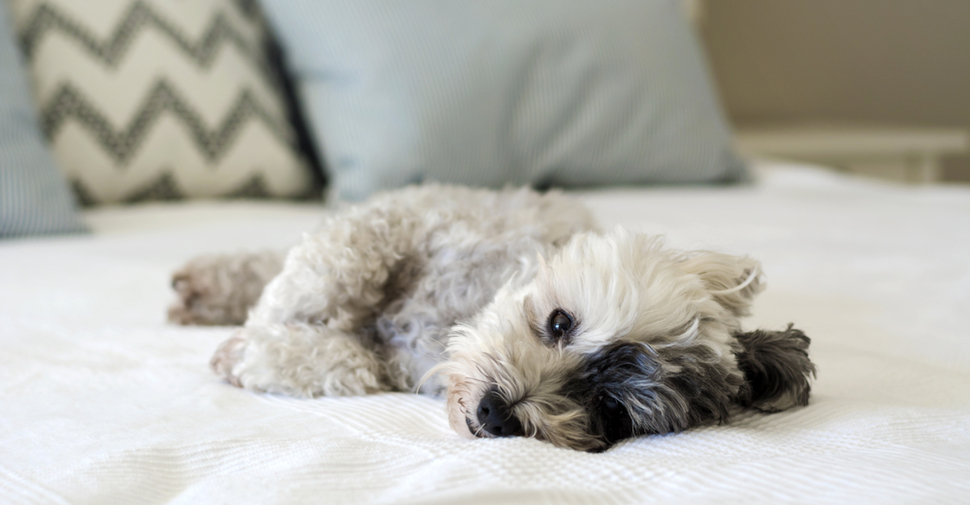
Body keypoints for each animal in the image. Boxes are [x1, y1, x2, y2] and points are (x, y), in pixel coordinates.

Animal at [170, 183, 812, 450]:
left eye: (610, 411)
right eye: (559, 322)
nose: (496, 414)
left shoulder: (386, 363)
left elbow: (345, 360)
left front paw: (253, 350)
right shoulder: (402, 219)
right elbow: (338, 263)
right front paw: (267, 319)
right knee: (281, 259)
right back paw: (208, 287)